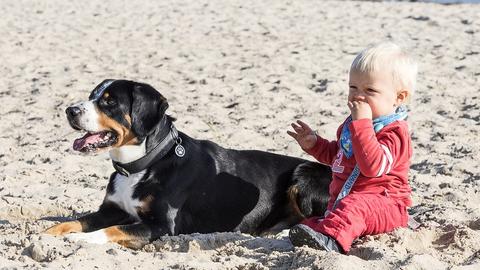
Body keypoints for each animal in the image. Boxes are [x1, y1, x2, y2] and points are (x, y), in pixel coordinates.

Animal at [44, 79, 330, 248]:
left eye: (109, 101)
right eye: (92, 95)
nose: (70, 110)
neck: (141, 166)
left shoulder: (161, 225)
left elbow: (110, 230)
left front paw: (83, 239)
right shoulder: (110, 210)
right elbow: (78, 220)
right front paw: (48, 232)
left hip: (304, 175)